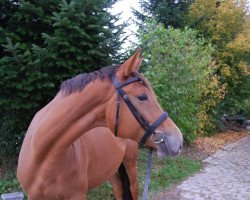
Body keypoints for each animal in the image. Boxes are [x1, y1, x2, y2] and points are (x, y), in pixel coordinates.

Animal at [16, 49, 183, 199]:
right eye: (142, 96)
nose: (178, 141)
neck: (44, 158)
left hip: (129, 163)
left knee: (133, 188)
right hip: (110, 168)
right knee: (119, 190)